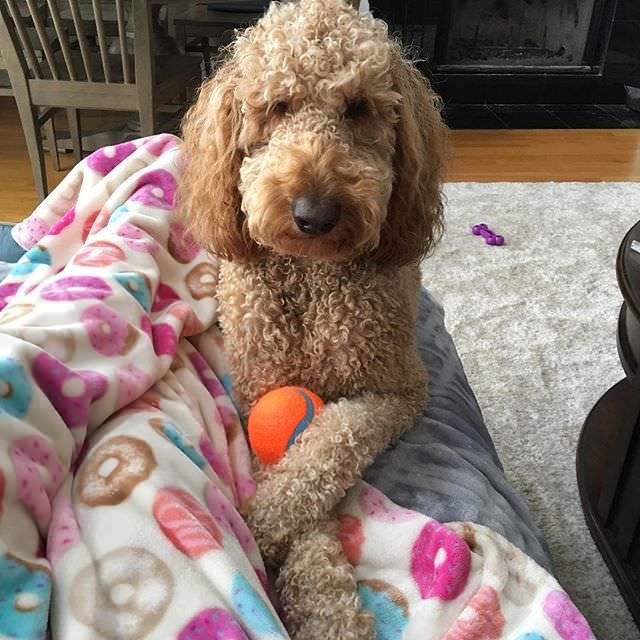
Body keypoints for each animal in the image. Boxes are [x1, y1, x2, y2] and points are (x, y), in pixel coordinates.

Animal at [179, 0, 444, 636]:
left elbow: (329, 442)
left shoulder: (398, 391)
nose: (315, 213)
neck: (314, 276)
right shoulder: (259, 394)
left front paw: (267, 518)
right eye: (278, 106)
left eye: (359, 108)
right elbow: (305, 500)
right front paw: (325, 603)